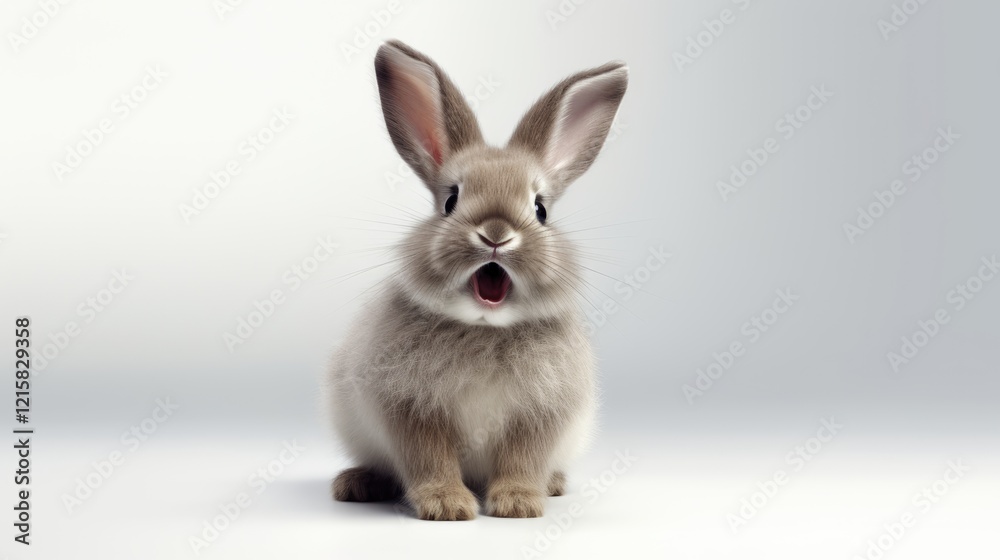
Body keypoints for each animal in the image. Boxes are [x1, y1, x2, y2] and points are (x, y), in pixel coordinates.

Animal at [328, 39, 627, 520]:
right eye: (451, 200)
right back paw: (356, 484)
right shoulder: (411, 411)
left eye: (541, 209)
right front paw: (447, 505)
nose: (496, 234)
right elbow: (429, 459)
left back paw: (554, 485)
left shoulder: (541, 415)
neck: (484, 328)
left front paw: (518, 504)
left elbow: (523, 459)